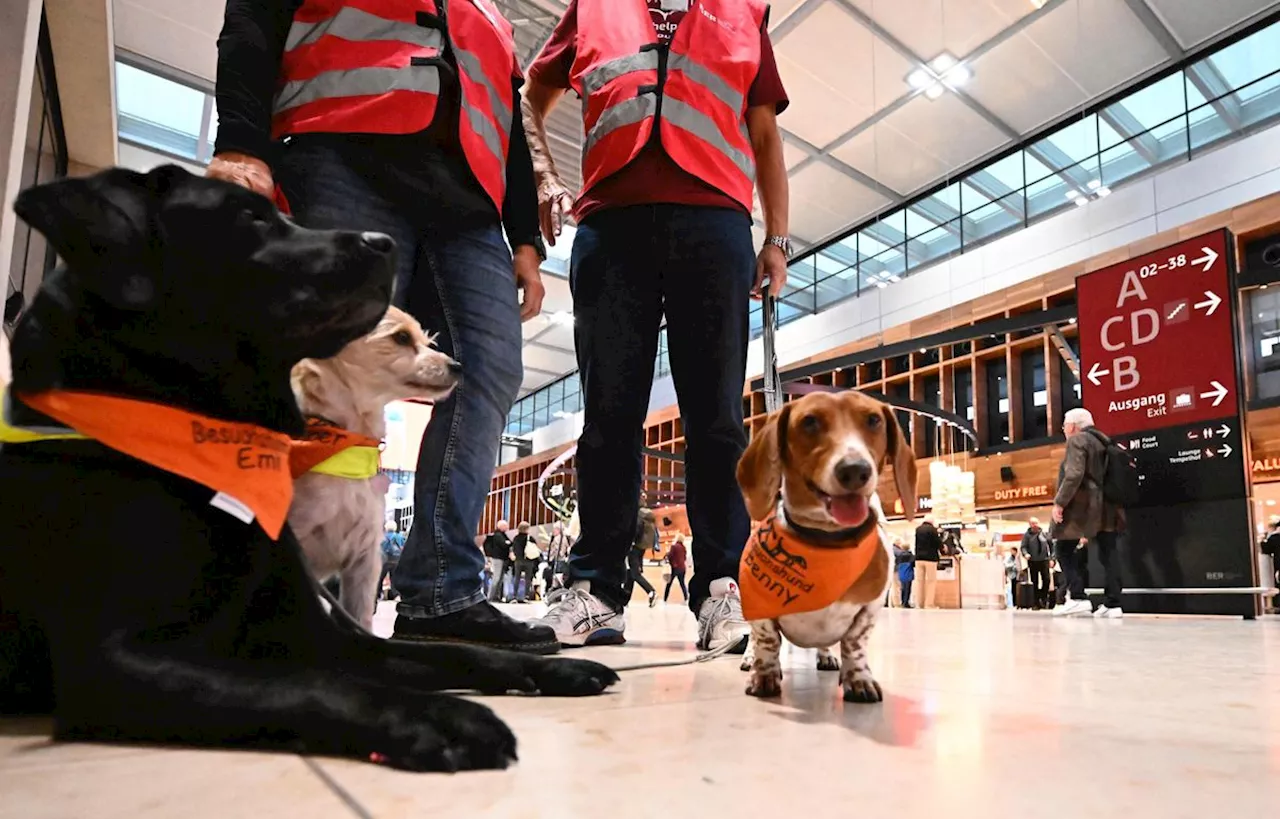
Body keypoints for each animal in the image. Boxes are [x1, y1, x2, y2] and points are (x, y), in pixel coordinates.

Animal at [737, 389, 916, 706]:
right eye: (809, 421)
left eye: (874, 420)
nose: (855, 470)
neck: (826, 540)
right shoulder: (758, 607)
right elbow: (767, 640)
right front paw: (764, 674)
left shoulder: (870, 606)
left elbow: (855, 641)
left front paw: (859, 679)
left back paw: (826, 657)